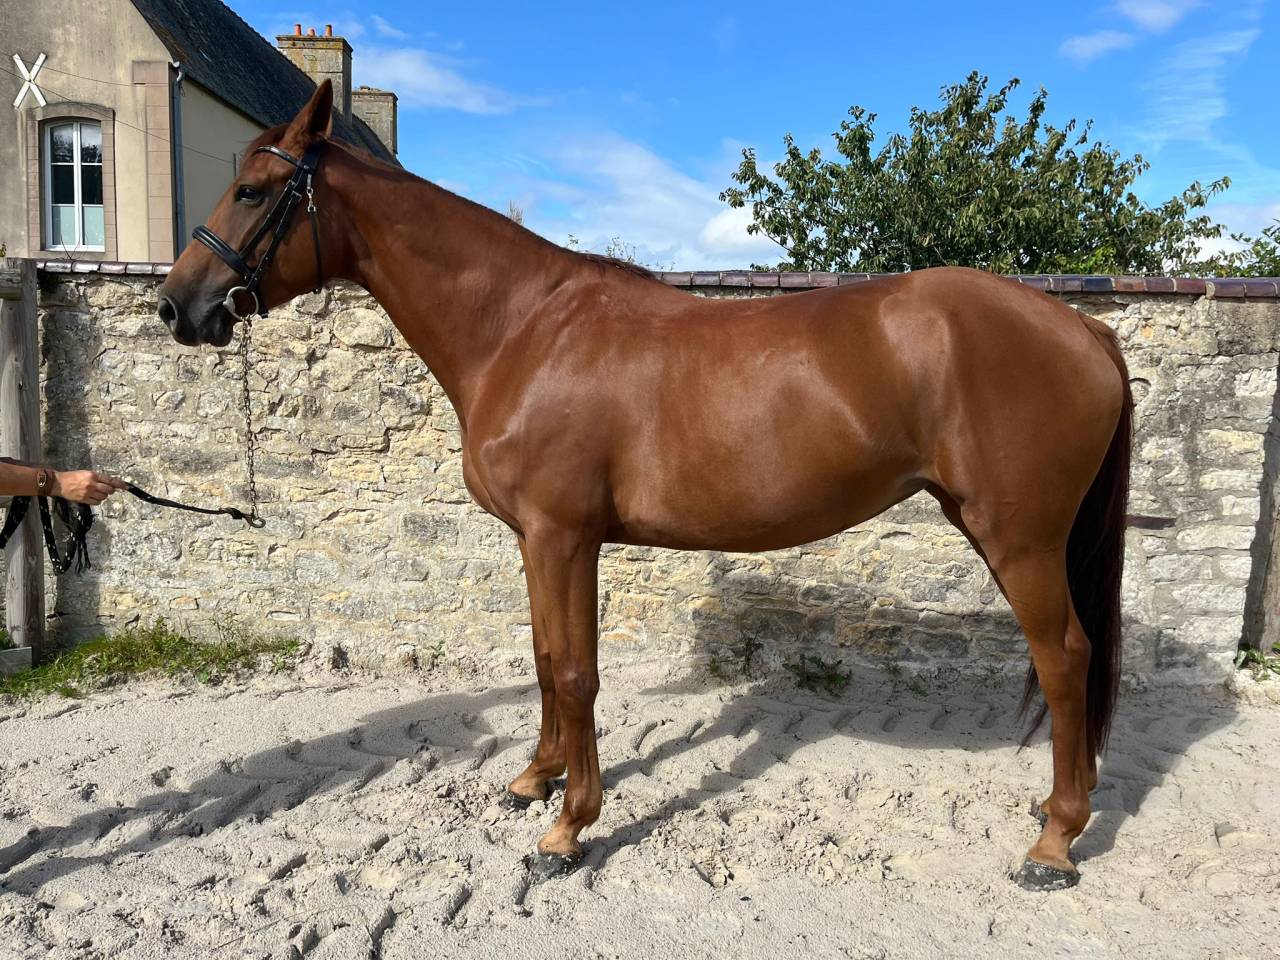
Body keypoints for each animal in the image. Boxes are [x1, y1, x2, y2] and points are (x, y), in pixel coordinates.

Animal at [158, 80, 1131, 892]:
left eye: (253, 191)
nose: (177, 306)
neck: (523, 330)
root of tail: (1081, 326)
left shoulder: (565, 534)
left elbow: (578, 671)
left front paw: (568, 828)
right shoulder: (536, 539)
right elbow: (545, 659)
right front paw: (534, 777)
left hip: (1019, 539)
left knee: (1065, 658)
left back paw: (1054, 842)